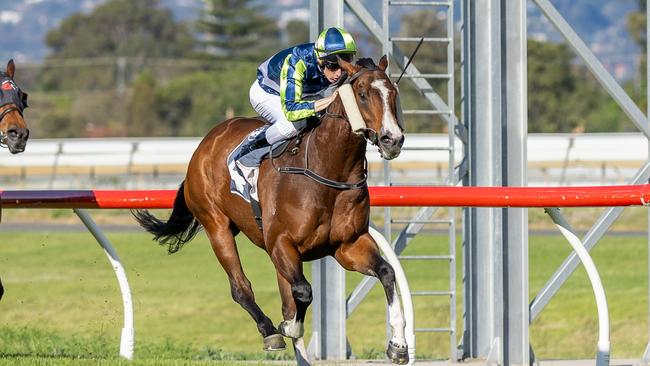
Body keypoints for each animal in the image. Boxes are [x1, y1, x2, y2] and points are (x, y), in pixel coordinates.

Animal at [132, 55, 404, 364]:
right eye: (362, 94)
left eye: (393, 93)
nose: (392, 139)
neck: (328, 170)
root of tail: (207, 141)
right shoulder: (282, 243)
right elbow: (302, 292)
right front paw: (287, 326)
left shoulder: (348, 244)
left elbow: (386, 272)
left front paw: (398, 345)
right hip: (217, 226)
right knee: (240, 287)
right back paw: (269, 331)